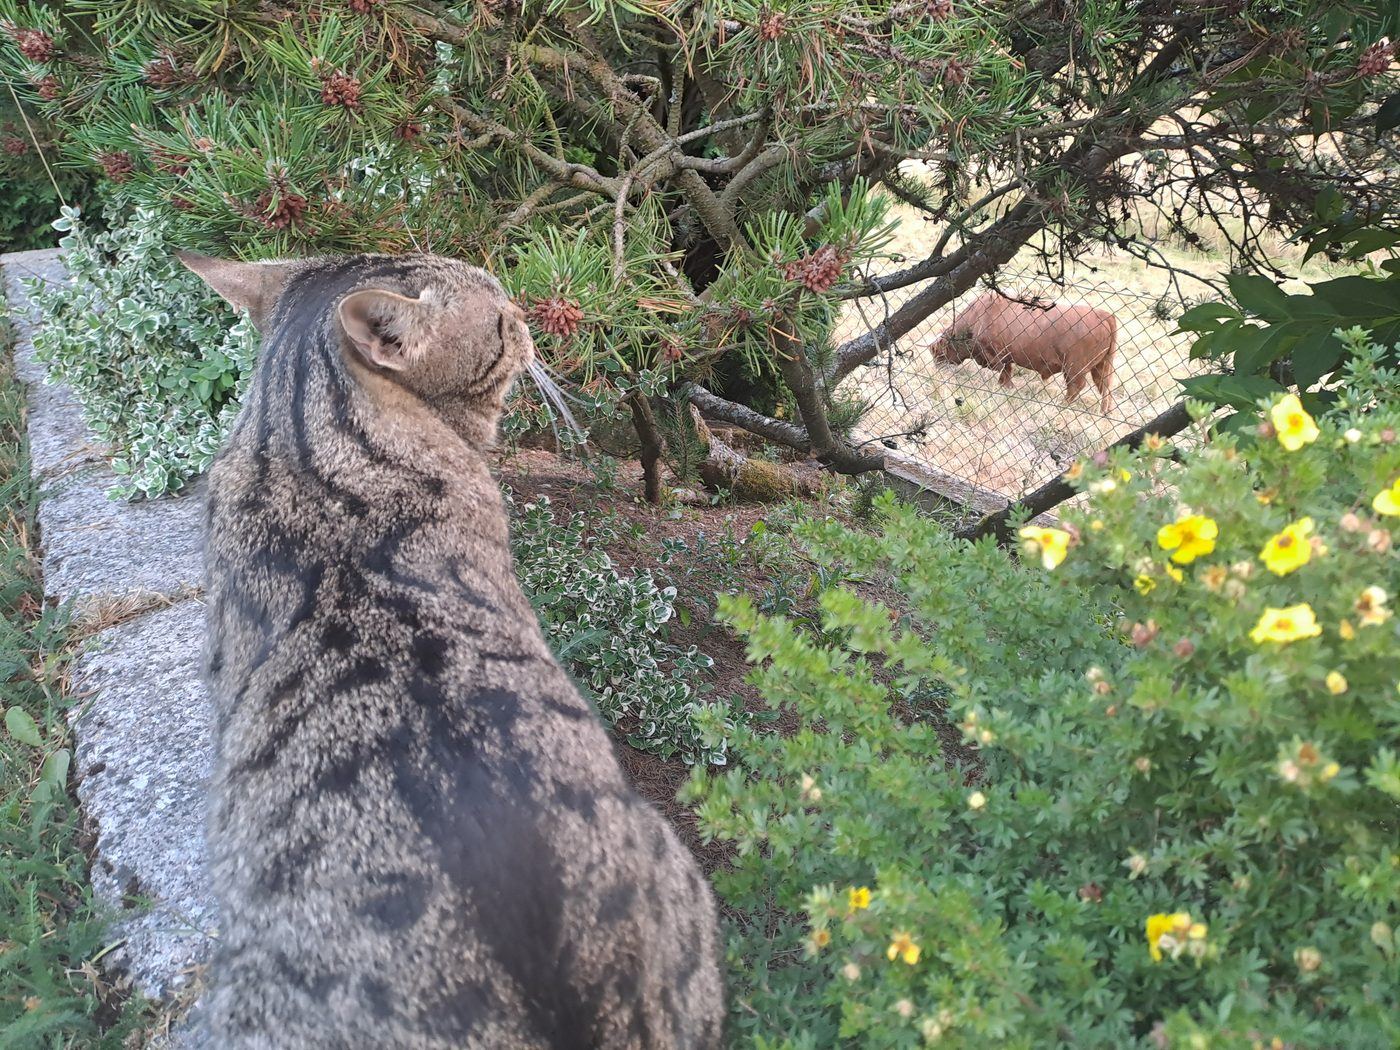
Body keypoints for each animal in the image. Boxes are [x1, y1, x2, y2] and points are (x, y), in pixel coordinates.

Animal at [928, 293, 1118, 413]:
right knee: (1106, 388)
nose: (937, 369)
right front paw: (1007, 386)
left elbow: (1002, 369)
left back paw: (1062, 405)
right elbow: (1007, 371)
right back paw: (1105, 412)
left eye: (938, 352)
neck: (978, 317)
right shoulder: (1006, 356)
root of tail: (1104, 315)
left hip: (1074, 368)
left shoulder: (994, 354)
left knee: (1076, 386)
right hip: (1102, 366)